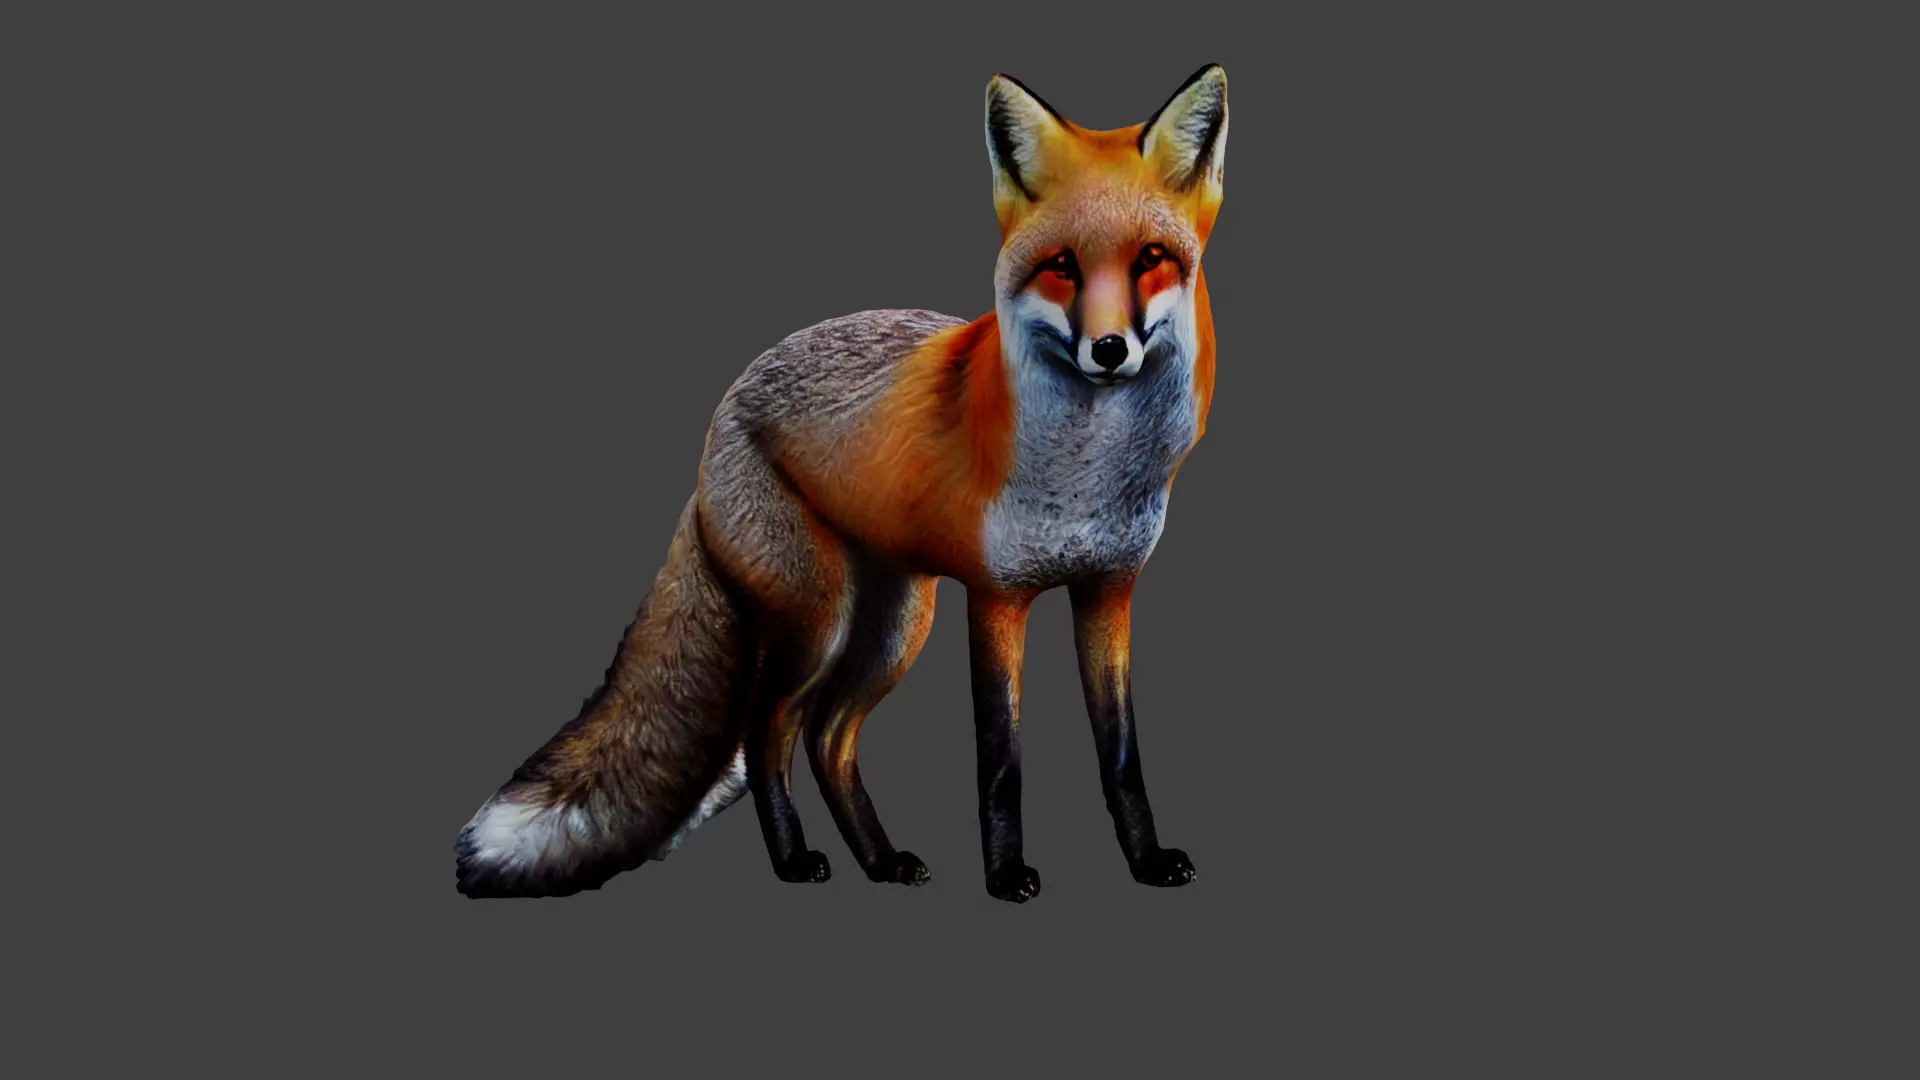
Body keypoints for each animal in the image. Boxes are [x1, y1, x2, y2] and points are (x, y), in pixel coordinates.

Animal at [455, 64, 1228, 903]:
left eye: (1151, 257)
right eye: (1062, 265)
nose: (1109, 349)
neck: (1087, 474)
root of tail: (725, 410)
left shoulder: (1108, 591)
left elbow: (1120, 754)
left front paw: (1147, 862)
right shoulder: (995, 598)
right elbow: (1000, 761)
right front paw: (1005, 875)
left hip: (895, 625)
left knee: (828, 739)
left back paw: (881, 861)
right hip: (819, 620)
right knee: (767, 733)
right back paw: (795, 861)